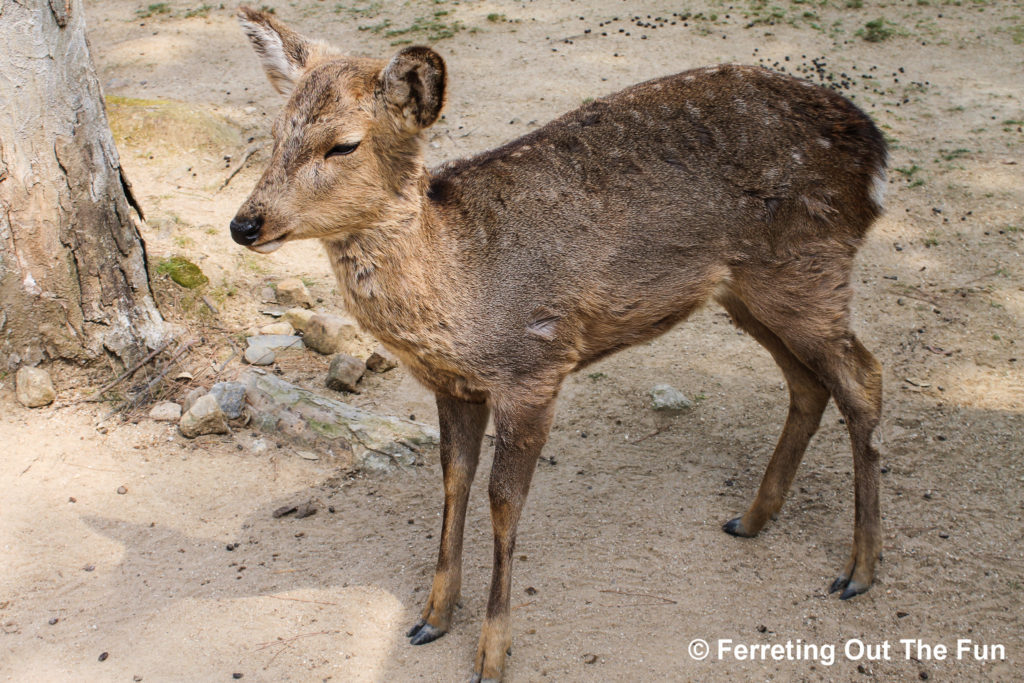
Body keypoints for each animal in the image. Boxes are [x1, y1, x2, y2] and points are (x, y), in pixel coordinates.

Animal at [232, 7, 888, 679]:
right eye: (277, 131)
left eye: (344, 143)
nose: (245, 223)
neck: (459, 292)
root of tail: (874, 150)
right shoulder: (455, 386)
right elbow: (453, 480)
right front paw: (432, 617)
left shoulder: (535, 365)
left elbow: (503, 500)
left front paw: (492, 652)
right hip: (749, 290)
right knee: (809, 382)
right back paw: (752, 518)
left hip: (809, 265)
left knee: (864, 377)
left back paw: (859, 569)